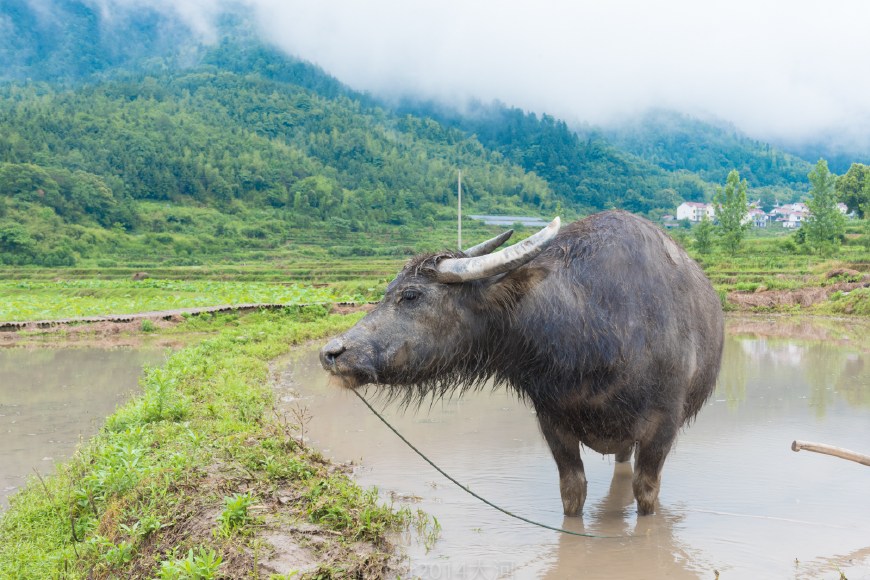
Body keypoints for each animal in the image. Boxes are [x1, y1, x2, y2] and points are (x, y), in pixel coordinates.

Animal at [320, 211, 724, 516]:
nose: (331, 353)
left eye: (411, 295)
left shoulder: (661, 428)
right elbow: (572, 491)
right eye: (388, 291)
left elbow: (646, 493)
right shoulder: (553, 422)